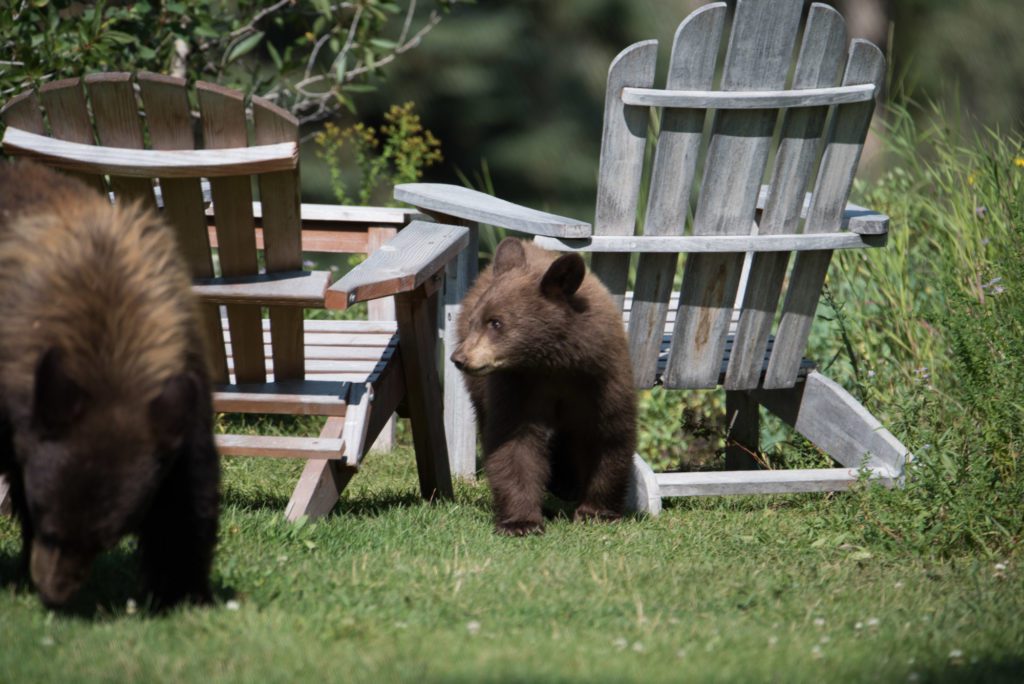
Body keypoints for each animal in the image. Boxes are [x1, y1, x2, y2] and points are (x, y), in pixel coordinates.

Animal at [0, 160, 219, 609]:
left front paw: (184, 591)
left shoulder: (180, 389)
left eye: (105, 541)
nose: (54, 595)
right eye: (48, 524)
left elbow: (186, 493)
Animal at [451, 237, 637, 536]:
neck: (554, 363)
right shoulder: (516, 386)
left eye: (496, 322)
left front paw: (597, 513)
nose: (459, 358)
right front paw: (521, 522)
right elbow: (514, 443)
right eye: (473, 322)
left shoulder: (602, 381)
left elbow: (607, 435)